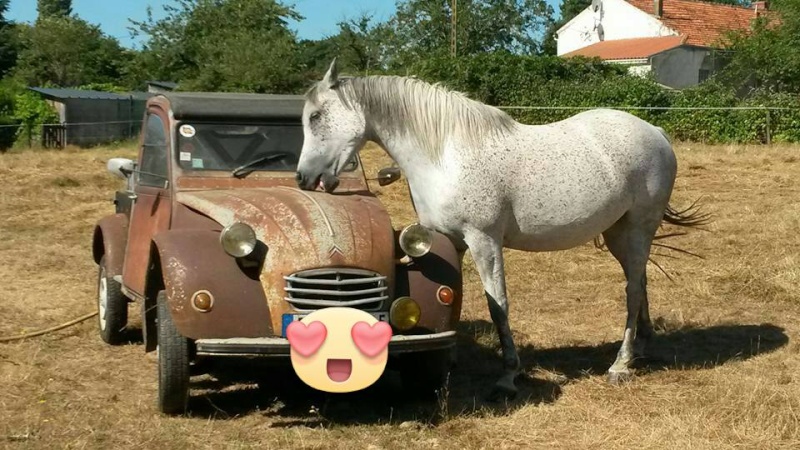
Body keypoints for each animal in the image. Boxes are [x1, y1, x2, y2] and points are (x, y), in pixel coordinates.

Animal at [298, 59, 708, 398]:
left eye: (316, 116)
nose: (305, 178)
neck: (445, 155)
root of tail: (656, 131)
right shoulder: (448, 243)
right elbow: (453, 299)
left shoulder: (484, 242)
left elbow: (499, 305)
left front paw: (508, 376)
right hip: (619, 233)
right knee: (640, 283)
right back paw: (642, 349)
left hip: (637, 228)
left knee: (632, 290)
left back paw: (620, 365)